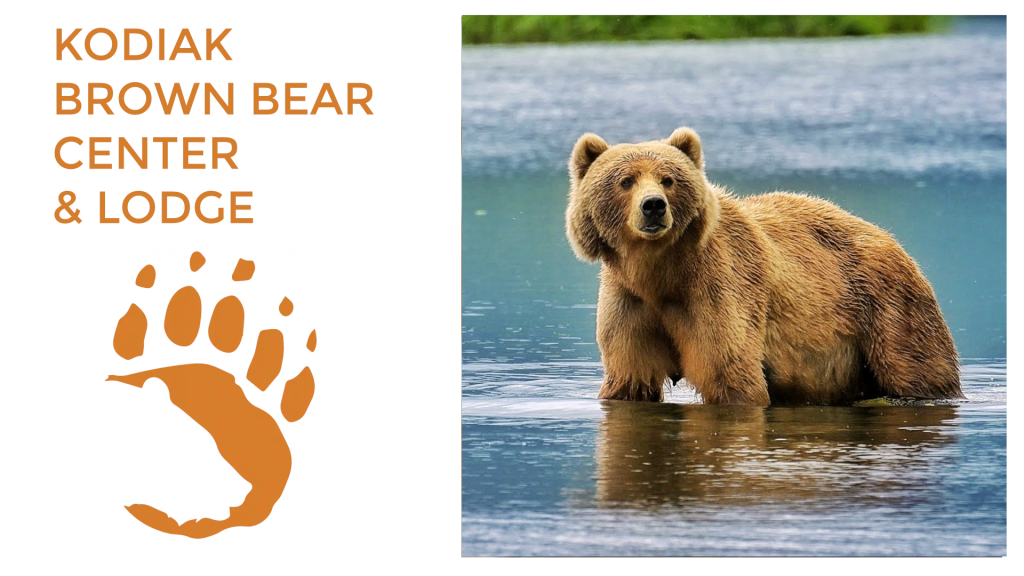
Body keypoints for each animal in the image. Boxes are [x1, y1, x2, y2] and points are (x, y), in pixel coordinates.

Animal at [565, 127, 962, 405]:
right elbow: (630, 378)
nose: (653, 206)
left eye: (669, 179)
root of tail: (891, 240)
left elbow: (730, 374)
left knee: (916, 368)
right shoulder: (630, 301)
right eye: (625, 180)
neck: (659, 272)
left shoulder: (717, 290)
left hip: (886, 306)